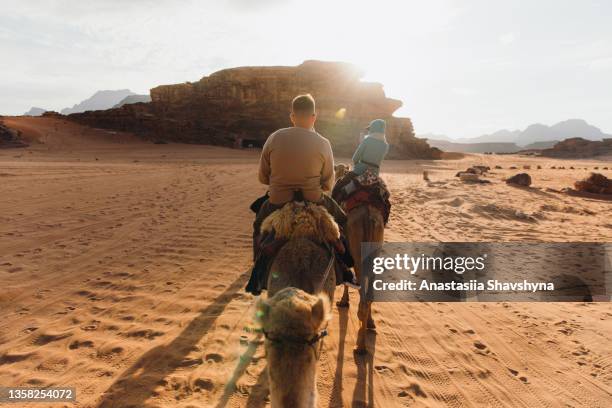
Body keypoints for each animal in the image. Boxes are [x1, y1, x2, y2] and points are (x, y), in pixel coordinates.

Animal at [332, 163, 384, 354]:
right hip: (375, 248)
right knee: (369, 292)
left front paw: (343, 301)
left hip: (357, 248)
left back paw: (360, 347)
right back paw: (370, 324)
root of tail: (368, 215)